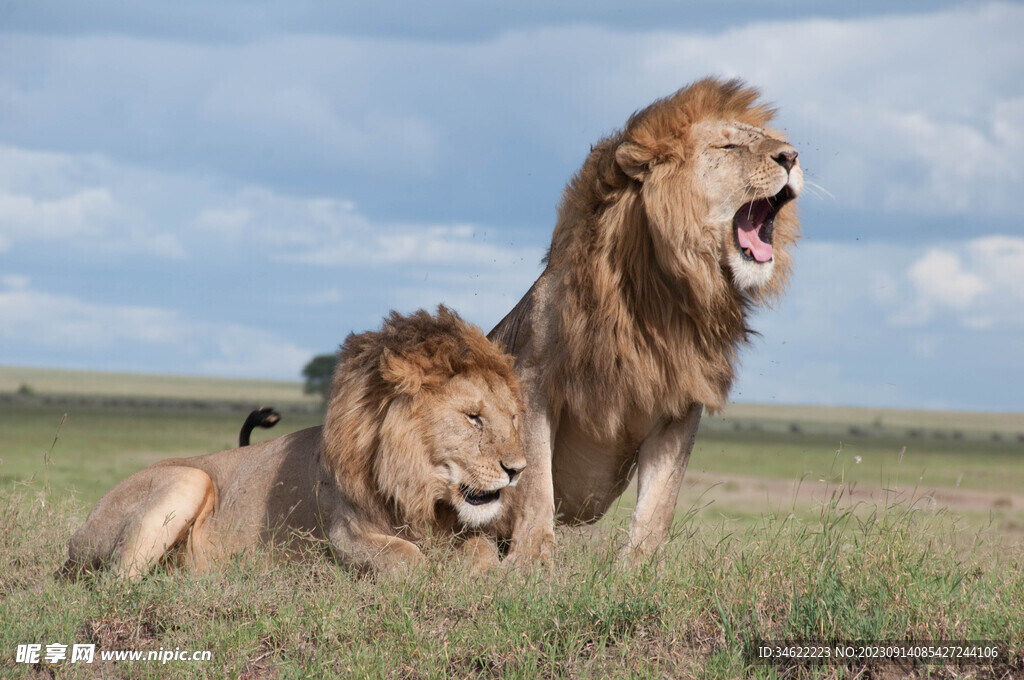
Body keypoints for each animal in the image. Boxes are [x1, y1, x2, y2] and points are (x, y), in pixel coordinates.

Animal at [64, 305, 528, 577]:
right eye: (473, 418)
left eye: (513, 417)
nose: (518, 470)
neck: (419, 491)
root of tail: (76, 537)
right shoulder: (343, 535)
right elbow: (406, 557)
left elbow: (482, 551)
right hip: (187, 479)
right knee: (118, 582)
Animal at [491, 76, 802, 561]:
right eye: (729, 146)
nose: (791, 156)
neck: (662, 295)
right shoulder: (533, 380)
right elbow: (536, 483)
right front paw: (533, 561)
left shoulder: (680, 401)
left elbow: (659, 501)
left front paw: (639, 567)